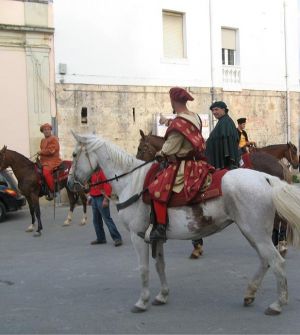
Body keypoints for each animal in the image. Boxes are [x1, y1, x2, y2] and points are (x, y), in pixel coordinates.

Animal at [137, 130, 296, 258]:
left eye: (141, 148)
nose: (296, 164)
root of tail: (279, 164)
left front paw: (197, 246)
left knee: (280, 219)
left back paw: (280, 244)